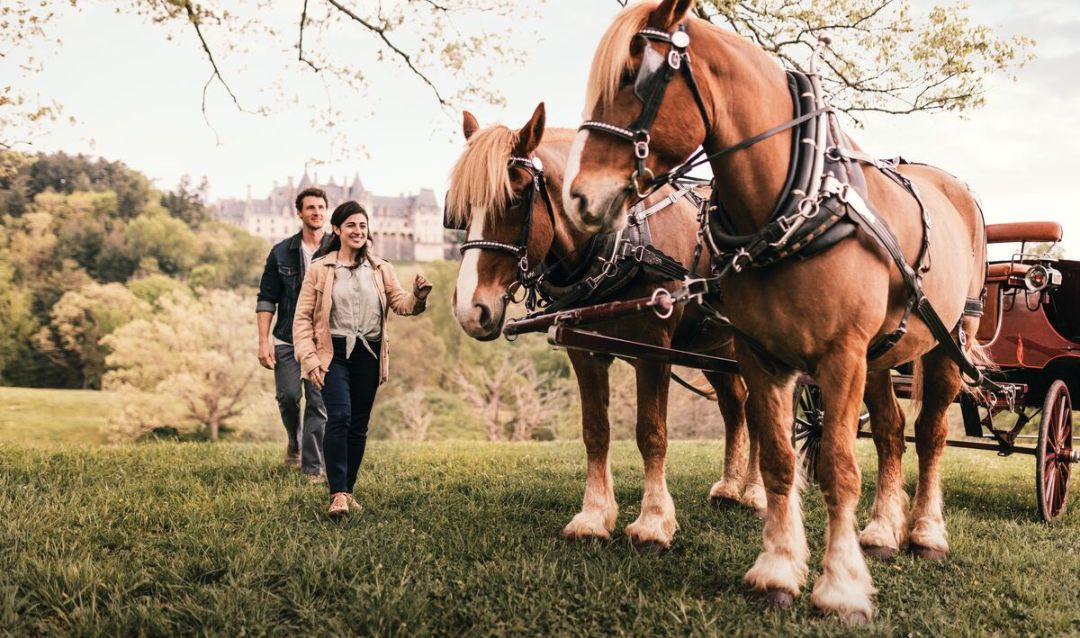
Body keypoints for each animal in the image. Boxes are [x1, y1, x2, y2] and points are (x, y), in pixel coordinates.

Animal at [448, 102, 764, 549]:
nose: (469, 309)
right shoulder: (583, 349)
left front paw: (653, 521)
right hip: (712, 346)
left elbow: (651, 433)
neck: (620, 243)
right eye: (458, 210)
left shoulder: (653, 348)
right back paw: (729, 486)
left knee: (759, 408)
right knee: (734, 404)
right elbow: (595, 431)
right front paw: (594, 517)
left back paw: (754, 490)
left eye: (516, 198)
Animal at [562, 0, 989, 624]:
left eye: (634, 78)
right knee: (890, 432)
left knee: (930, 434)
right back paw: (882, 531)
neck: (792, 208)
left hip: (947, 342)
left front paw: (841, 587)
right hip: (884, 354)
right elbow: (781, 461)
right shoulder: (760, 354)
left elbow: (837, 467)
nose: (578, 198)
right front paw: (779, 569)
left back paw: (926, 533)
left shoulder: (840, 356)